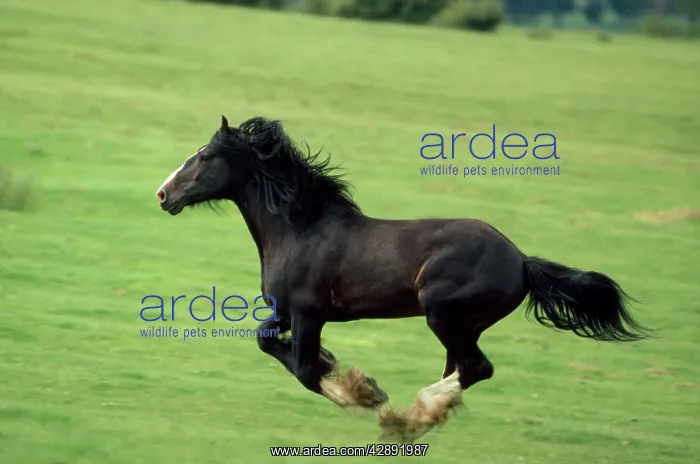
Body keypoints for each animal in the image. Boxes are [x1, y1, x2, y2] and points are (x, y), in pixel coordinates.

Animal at [155, 115, 651, 443]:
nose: (163, 195)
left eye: (205, 156)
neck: (300, 231)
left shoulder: (309, 313)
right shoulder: (286, 313)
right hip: (464, 325)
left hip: (443, 314)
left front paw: (364, 393)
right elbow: (270, 343)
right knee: (462, 369)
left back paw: (407, 414)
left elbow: (303, 368)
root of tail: (522, 261)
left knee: (475, 368)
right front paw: (345, 370)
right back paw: (416, 417)